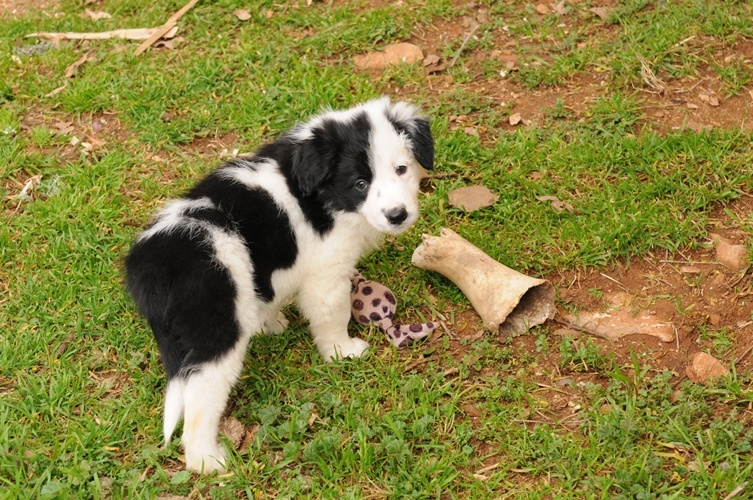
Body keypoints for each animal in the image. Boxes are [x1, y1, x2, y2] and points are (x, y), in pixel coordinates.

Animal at [125, 96, 434, 472]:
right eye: (360, 183)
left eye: (402, 169)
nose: (397, 215)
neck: (325, 197)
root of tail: (147, 268)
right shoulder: (326, 273)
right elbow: (333, 315)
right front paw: (341, 351)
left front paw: (270, 323)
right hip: (216, 329)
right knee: (200, 397)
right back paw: (208, 462)